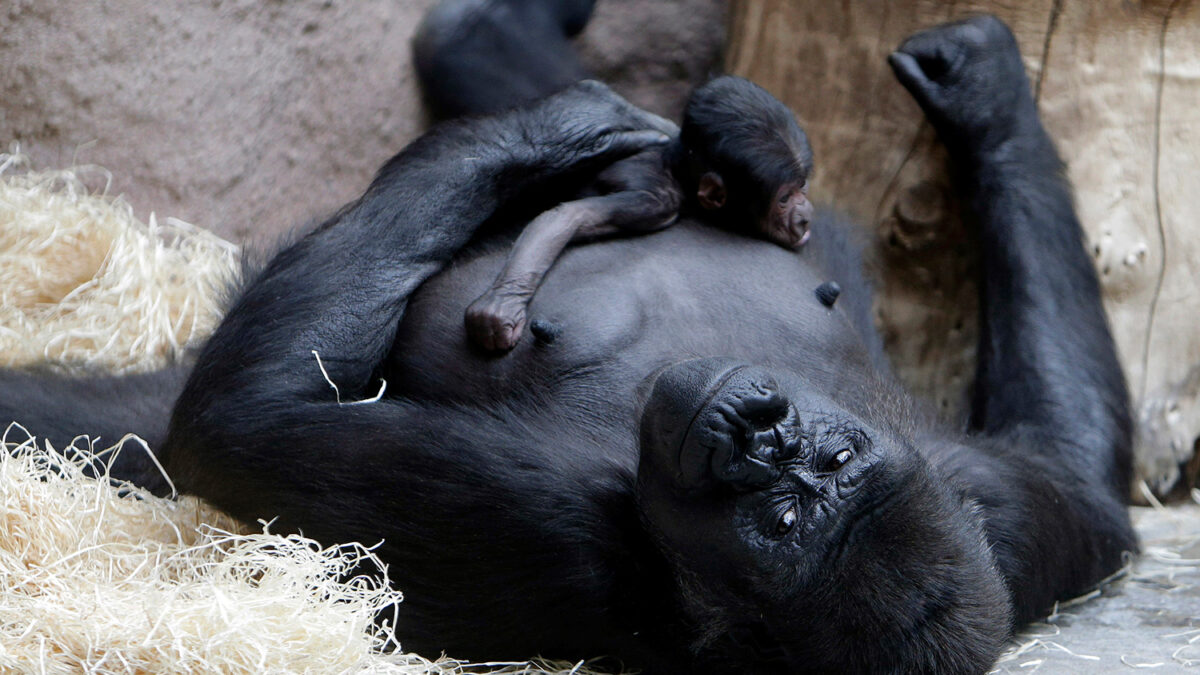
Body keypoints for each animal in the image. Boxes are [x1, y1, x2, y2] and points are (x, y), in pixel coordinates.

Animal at [463, 77, 811, 353]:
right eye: (783, 199)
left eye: (802, 186)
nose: (805, 213)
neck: (677, 172)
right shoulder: (653, 201)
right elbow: (568, 217)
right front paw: (501, 306)